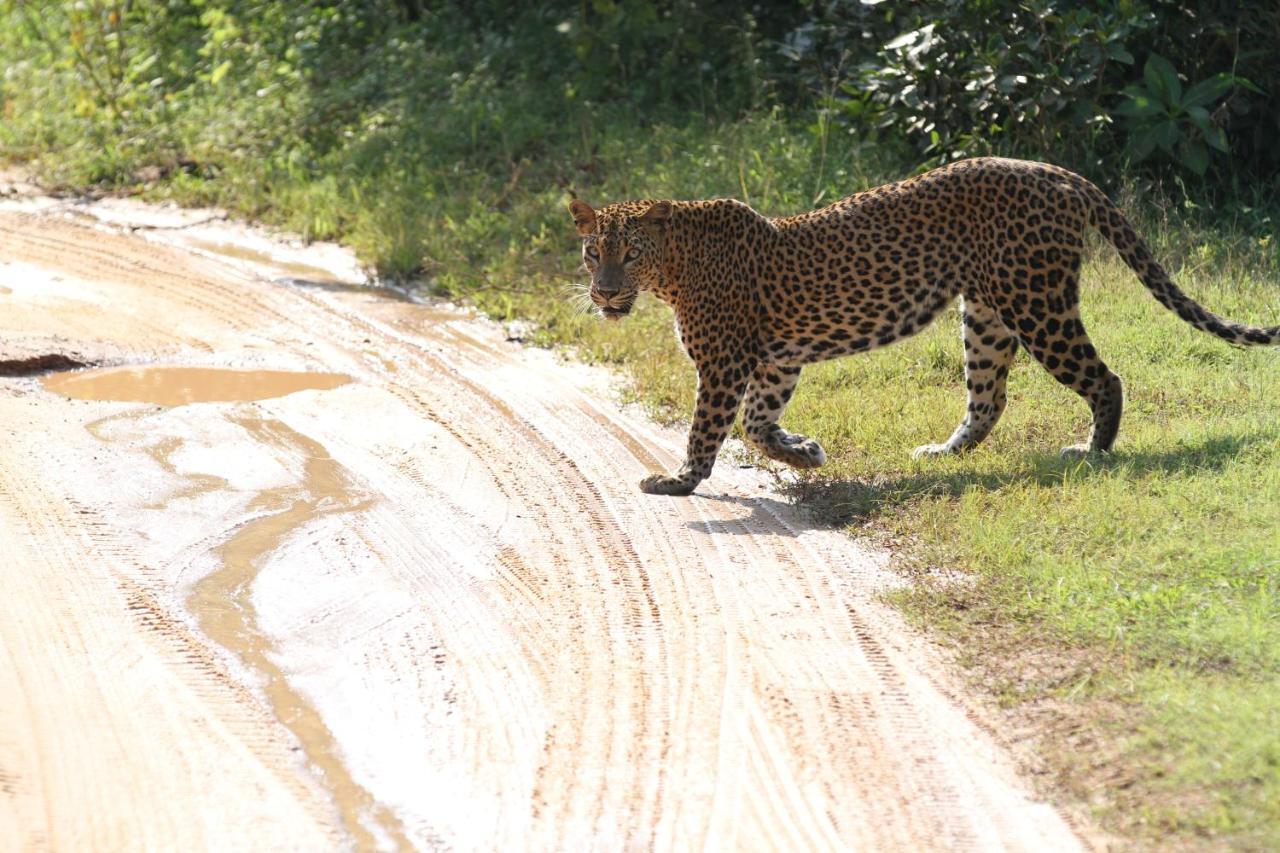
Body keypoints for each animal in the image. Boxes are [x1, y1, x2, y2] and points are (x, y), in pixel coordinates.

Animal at [573, 156, 1280, 494]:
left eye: (628, 254)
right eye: (591, 252)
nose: (604, 292)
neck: (674, 267)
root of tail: (1057, 172)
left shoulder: (724, 363)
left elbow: (709, 428)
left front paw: (678, 481)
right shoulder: (778, 358)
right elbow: (757, 423)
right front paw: (803, 453)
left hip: (1037, 303)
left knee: (1105, 378)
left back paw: (1092, 453)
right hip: (986, 314)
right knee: (989, 397)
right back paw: (945, 453)